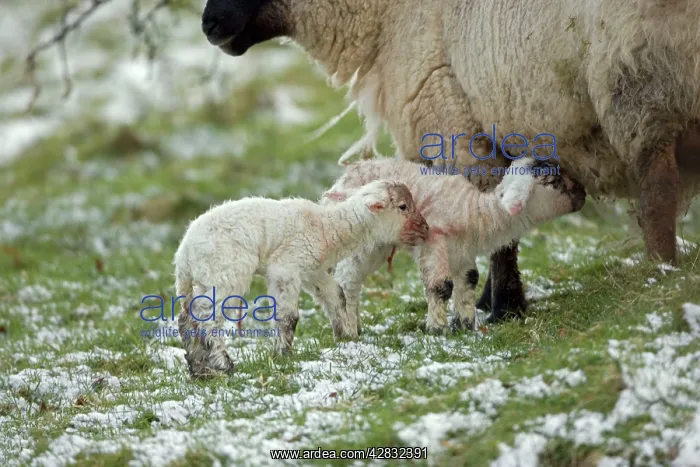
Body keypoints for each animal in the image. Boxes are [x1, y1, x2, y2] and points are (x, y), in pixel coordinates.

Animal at [173, 179, 429, 377]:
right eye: (403, 206)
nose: (426, 230)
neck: (328, 229)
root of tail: (184, 253)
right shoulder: (286, 269)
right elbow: (288, 318)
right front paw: (282, 355)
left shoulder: (313, 272)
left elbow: (336, 295)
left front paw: (345, 337)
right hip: (225, 271)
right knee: (208, 319)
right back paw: (223, 364)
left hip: (201, 278)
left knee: (187, 318)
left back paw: (199, 367)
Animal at [322, 157, 587, 334]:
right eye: (553, 181)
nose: (583, 193)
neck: (476, 212)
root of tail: (338, 183)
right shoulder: (434, 240)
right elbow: (441, 286)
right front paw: (437, 329)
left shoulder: (463, 250)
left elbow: (469, 280)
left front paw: (465, 325)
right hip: (362, 243)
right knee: (348, 282)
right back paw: (350, 329)